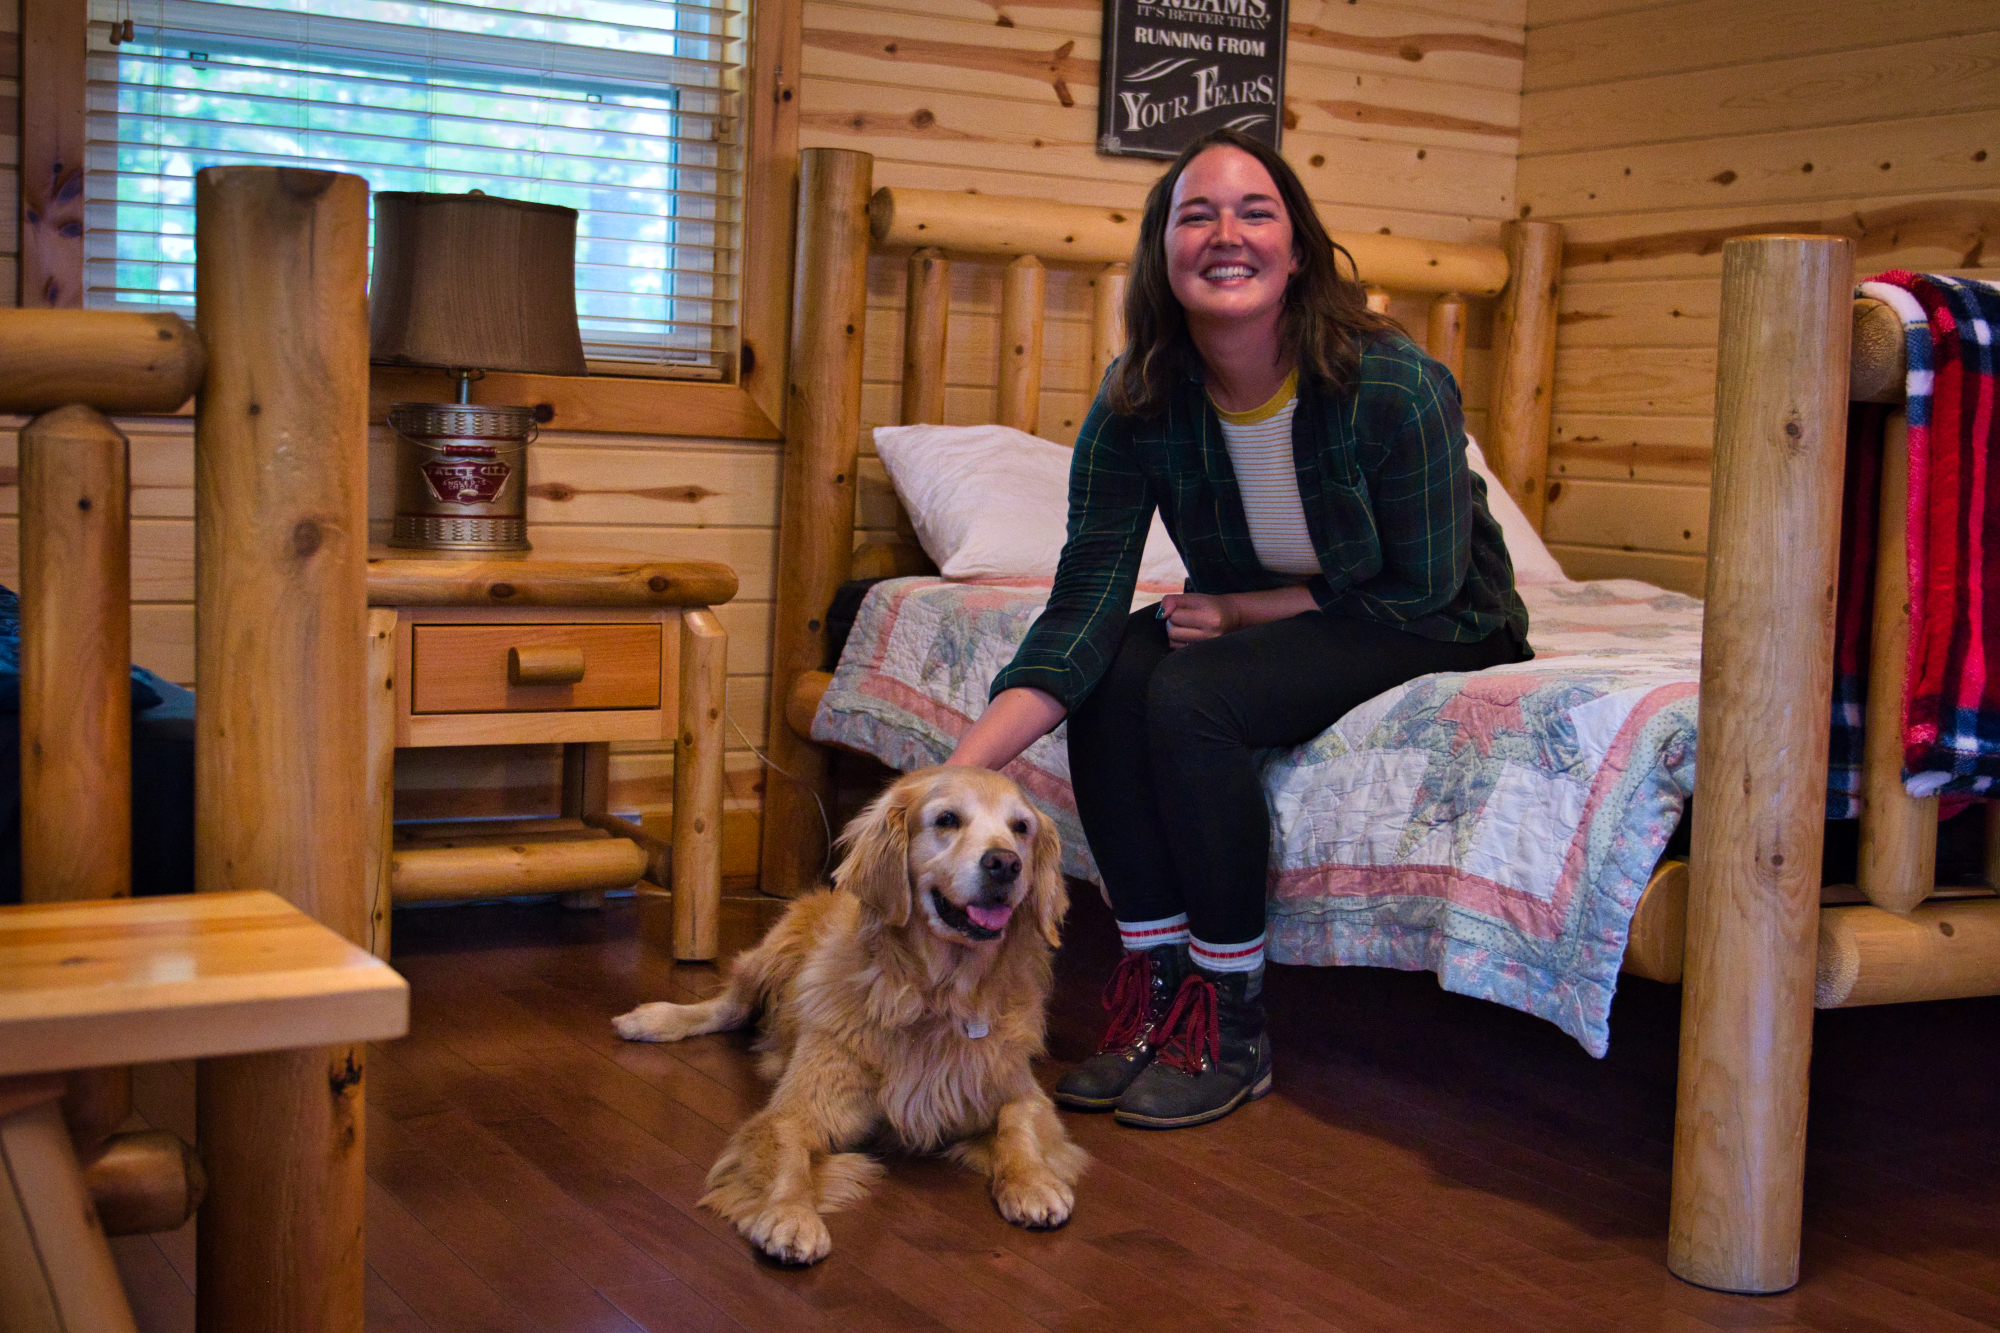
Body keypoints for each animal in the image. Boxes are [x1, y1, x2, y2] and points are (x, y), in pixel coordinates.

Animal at [608, 764, 1088, 1264]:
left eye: (1022, 828)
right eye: (947, 820)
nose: (1005, 863)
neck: (935, 995)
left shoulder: (1018, 1087)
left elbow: (1019, 1122)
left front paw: (1033, 1183)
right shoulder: (797, 1109)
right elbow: (789, 1155)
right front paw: (791, 1216)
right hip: (773, 952)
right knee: (727, 1007)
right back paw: (652, 1020)